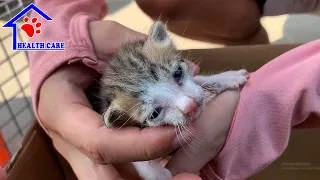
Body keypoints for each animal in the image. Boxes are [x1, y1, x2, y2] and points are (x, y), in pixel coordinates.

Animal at [99, 21, 249, 180]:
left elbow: (199, 80)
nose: (190, 106)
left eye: (178, 72)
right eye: (155, 114)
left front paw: (228, 77)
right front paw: (156, 173)